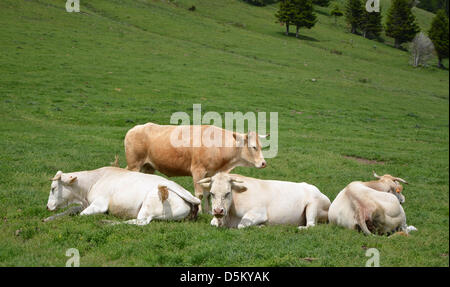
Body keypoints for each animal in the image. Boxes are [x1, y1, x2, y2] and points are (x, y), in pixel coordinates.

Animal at [45, 166, 200, 225]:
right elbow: (71, 210)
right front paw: (48, 218)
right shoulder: (86, 204)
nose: (47, 207)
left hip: (149, 203)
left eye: (53, 188)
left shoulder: (99, 204)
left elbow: (80, 215)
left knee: (141, 222)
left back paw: (107, 222)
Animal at [123, 122, 268, 215]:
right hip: (135, 164)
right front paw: (200, 211)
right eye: (254, 147)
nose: (263, 163)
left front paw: (209, 211)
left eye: (261, 146)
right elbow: (199, 194)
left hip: (148, 167)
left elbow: (208, 193)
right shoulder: (198, 171)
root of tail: (134, 129)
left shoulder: (210, 174)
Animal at [197, 173, 330, 230]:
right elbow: (212, 223)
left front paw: (261, 226)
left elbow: (241, 225)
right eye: (212, 193)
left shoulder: (258, 213)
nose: (218, 210)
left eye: (228, 193)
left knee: (311, 225)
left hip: (313, 206)